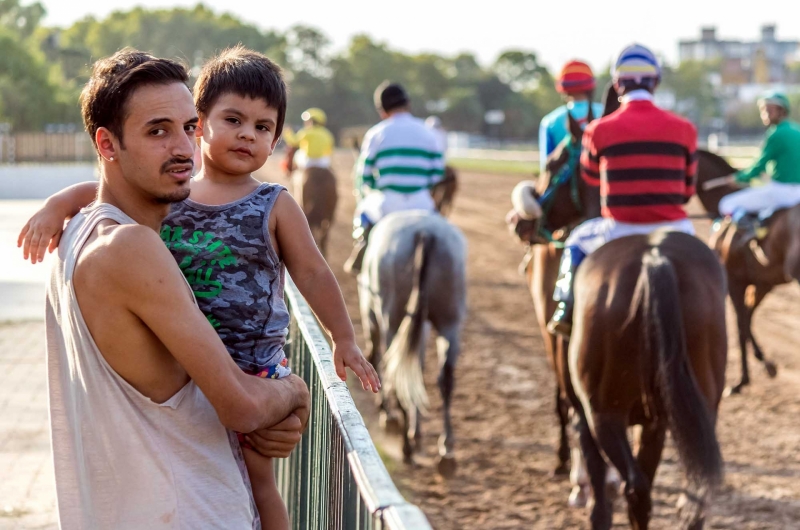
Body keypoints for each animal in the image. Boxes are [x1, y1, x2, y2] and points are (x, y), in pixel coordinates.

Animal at [358, 209, 468, 474]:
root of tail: (424, 232)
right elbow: (416, 370)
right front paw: (415, 431)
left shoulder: (372, 319)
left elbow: (374, 361)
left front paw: (389, 416)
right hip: (450, 322)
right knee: (445, 379)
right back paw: (445, 450)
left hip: (392, 321)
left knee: (392, 370)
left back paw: (406, 447)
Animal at [692, 150, 800, 392]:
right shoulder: (762, 283)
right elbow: (748, 317)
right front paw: (765, 362)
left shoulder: (734, 280)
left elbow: (741, 324)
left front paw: (742, 380)